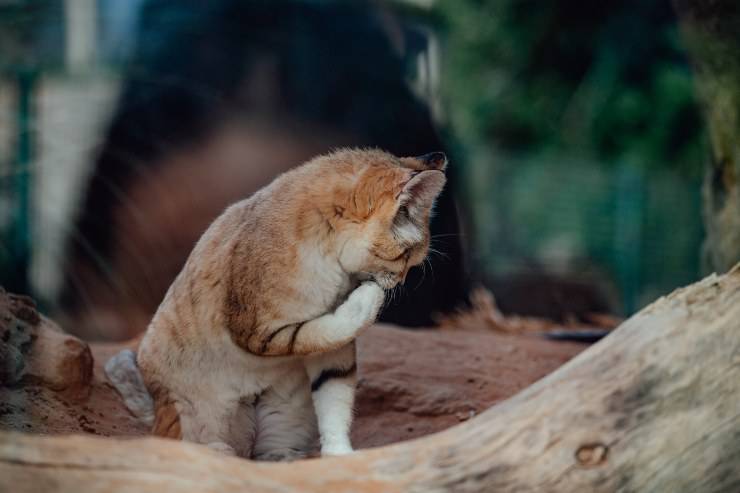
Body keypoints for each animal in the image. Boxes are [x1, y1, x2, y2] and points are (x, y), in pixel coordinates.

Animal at [105, 148, 446, 460]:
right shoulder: (256, 331)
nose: (399, 281)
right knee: (181, 443)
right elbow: (314, 333)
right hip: (189, 416)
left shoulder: (330, 351)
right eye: (405, 257)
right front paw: (368, 298)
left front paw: (339, 454)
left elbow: (333, 391)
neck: (332, 260)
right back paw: (215, 449)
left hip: (283, 423)